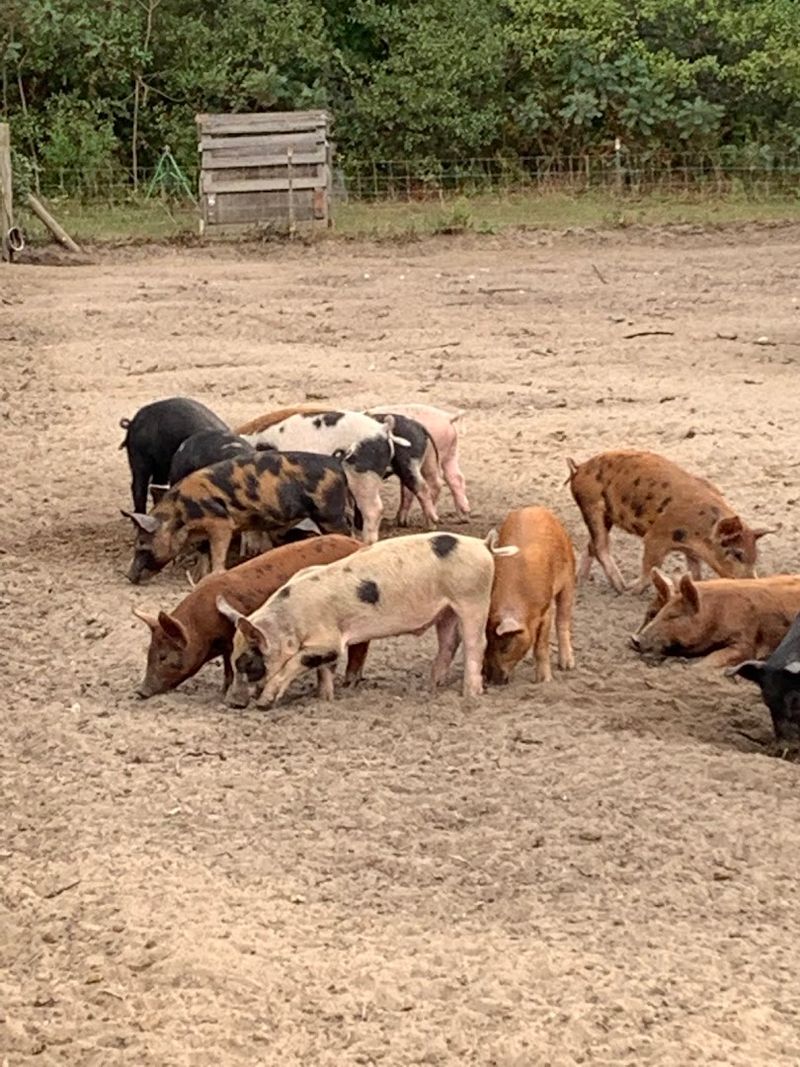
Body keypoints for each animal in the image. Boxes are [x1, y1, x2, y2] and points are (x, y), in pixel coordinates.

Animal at [122, 450, 351, 584]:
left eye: (141, 544)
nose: (128, 576)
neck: (181, 512)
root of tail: (336, 462)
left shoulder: (220, 522)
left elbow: (218, 551)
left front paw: (211, 577)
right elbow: (204, 550)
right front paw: (198, 575)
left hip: (330, 514)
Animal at [132, 535, 367, 698]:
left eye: (163, 656)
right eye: (148, 651)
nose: (141, 692)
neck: (201, 627)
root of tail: (359, 544)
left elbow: (232, 665)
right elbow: (228, 666)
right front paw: (222, 691)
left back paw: (350, 683)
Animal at [217, 531, 519, 708]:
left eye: (248, 664)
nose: (233, 703)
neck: (289, 622)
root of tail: (483, 545)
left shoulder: (328, 641)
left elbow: (298, 663)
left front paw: (265, 702)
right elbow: (324, 668)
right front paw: (325, 699)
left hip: (472, 598)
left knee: (475, 644)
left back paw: (470, 694)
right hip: (446, 610)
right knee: (448, 643)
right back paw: (432, 687)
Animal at [483, 506, 576, 686]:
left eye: (505, 647)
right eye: (486, 644)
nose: (489, 680)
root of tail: (534, 507)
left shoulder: (545, 611)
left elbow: (541, 645)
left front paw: (544, 681)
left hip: (569, 576)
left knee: (563, 619)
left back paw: (567, 665)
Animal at [568, 450, 773, 595]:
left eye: (755, 556)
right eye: (738, 553)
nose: (753, 582)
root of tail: (579, 468)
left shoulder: (691, 552)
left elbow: (695, 573)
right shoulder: (655, 537)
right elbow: (649, 567)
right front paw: (633, 589)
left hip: (606, 516)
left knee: (590, 545)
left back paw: (580, 582)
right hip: (591, 505)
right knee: (600, 546)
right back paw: (620, 587)